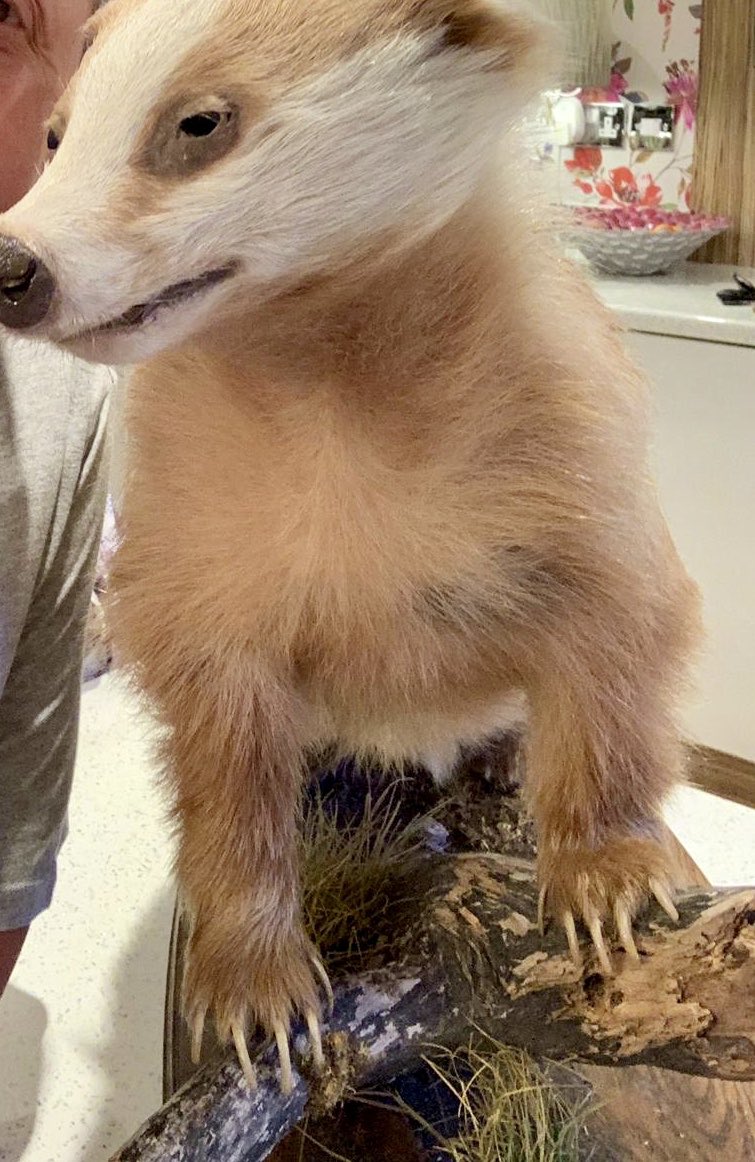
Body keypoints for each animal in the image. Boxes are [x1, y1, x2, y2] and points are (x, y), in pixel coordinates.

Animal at [0, 0, 700, 1094]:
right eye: (55, 134)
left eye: (200, 123)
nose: (15, 268)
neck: (324, 378)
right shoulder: (196, 522)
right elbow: (226, 750)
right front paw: (253, 991)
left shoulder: (564, 434)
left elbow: (616, 635)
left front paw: (609, 882)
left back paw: (497, 767)